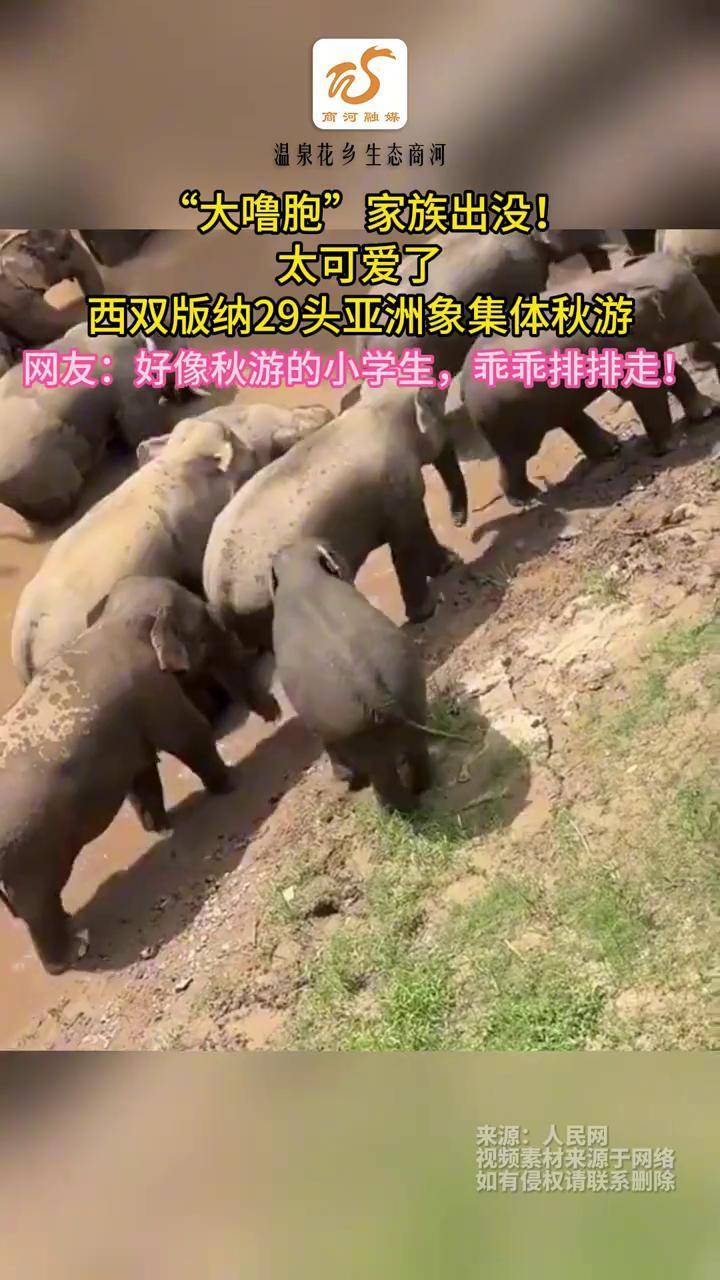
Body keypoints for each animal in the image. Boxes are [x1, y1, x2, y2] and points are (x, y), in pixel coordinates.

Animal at [0, 575, 279, 975]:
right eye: (205, 620)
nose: (275, 712)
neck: (118, 617)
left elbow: (142, 772)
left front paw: (161, 826)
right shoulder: (152, 688)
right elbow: (190, 733)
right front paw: (231, 782)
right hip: (27, 853)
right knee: (39, 905)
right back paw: (74, 951)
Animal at [203, 387, 464, 650]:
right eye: (438, 408)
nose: (459, 521)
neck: (374, 407)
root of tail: (216, 597)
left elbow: (418, 525)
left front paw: (450, 563)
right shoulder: (395, 486)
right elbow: (406, 540)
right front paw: (427, 610)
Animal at [270, 538, 432, 813]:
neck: (299, 572)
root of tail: (373, 690)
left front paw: (344, 779)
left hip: (351, 726)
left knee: (381, 771)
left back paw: (393, 809)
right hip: (409, 685)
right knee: (416, 746)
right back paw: (421, 789)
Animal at [454, 251, 720, 505]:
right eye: (696, 314)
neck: (629, 278)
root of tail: (463, 386)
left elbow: (669, 370)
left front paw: (707, 412)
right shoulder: (617, 344)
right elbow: (642, 391)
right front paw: (670, 447)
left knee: (567, 417)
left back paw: (612, 449)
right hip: (505, 416)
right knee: (519, 454)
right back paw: (529, 498)